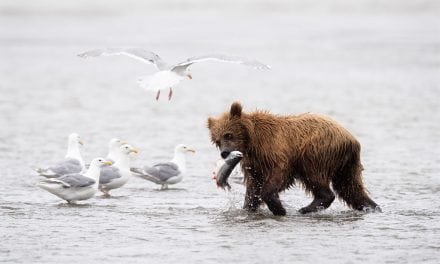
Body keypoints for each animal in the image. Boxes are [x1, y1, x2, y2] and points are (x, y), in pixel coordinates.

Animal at [208, 102, 380, 216]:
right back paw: (372, 206)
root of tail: (351, 139)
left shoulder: (275, 150)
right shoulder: (255, 163)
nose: (224, 153)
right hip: (346, 164)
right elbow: (254, 185)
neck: (253, 141)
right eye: (217, 140)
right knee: (350, 188)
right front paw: (248, 207)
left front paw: (279, 208)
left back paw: (306, 208)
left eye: (228, 134)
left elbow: (278, 175)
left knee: (316, 177)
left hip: (316, 151)